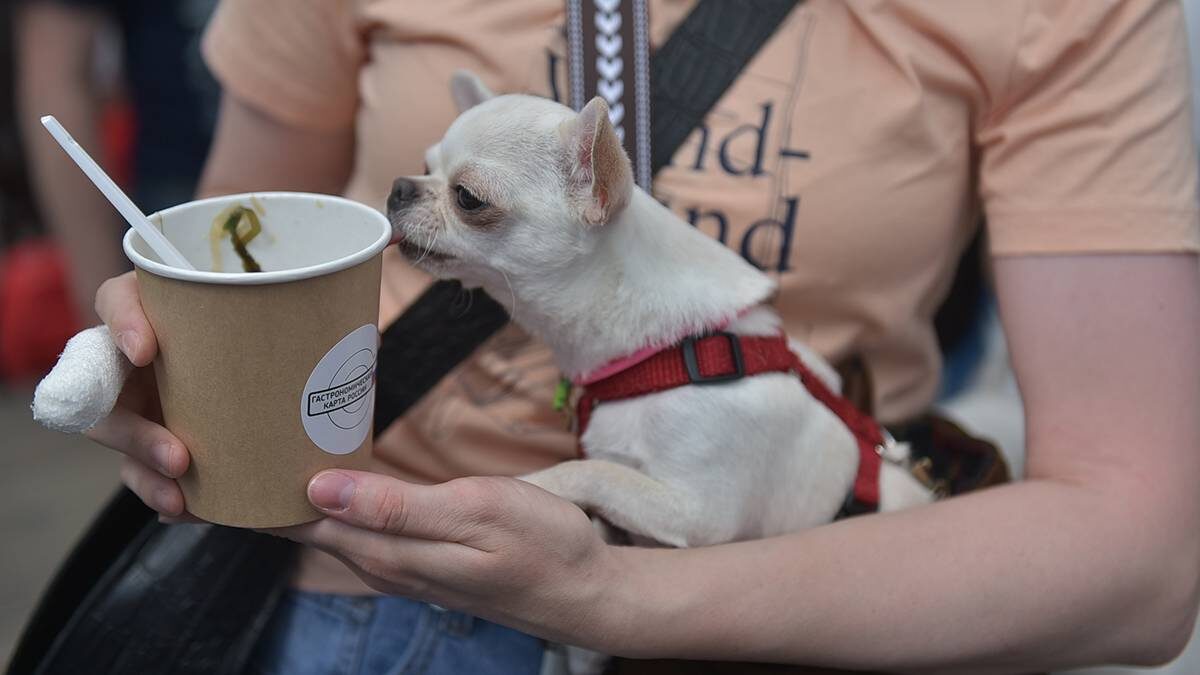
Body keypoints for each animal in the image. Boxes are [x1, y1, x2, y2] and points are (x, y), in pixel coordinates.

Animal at [388, 72, 931, 557]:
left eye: (468, 198)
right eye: (424, 164)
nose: (398, 187)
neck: (669, 354)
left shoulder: (701, 513)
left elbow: (593, 470)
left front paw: (538, 481)